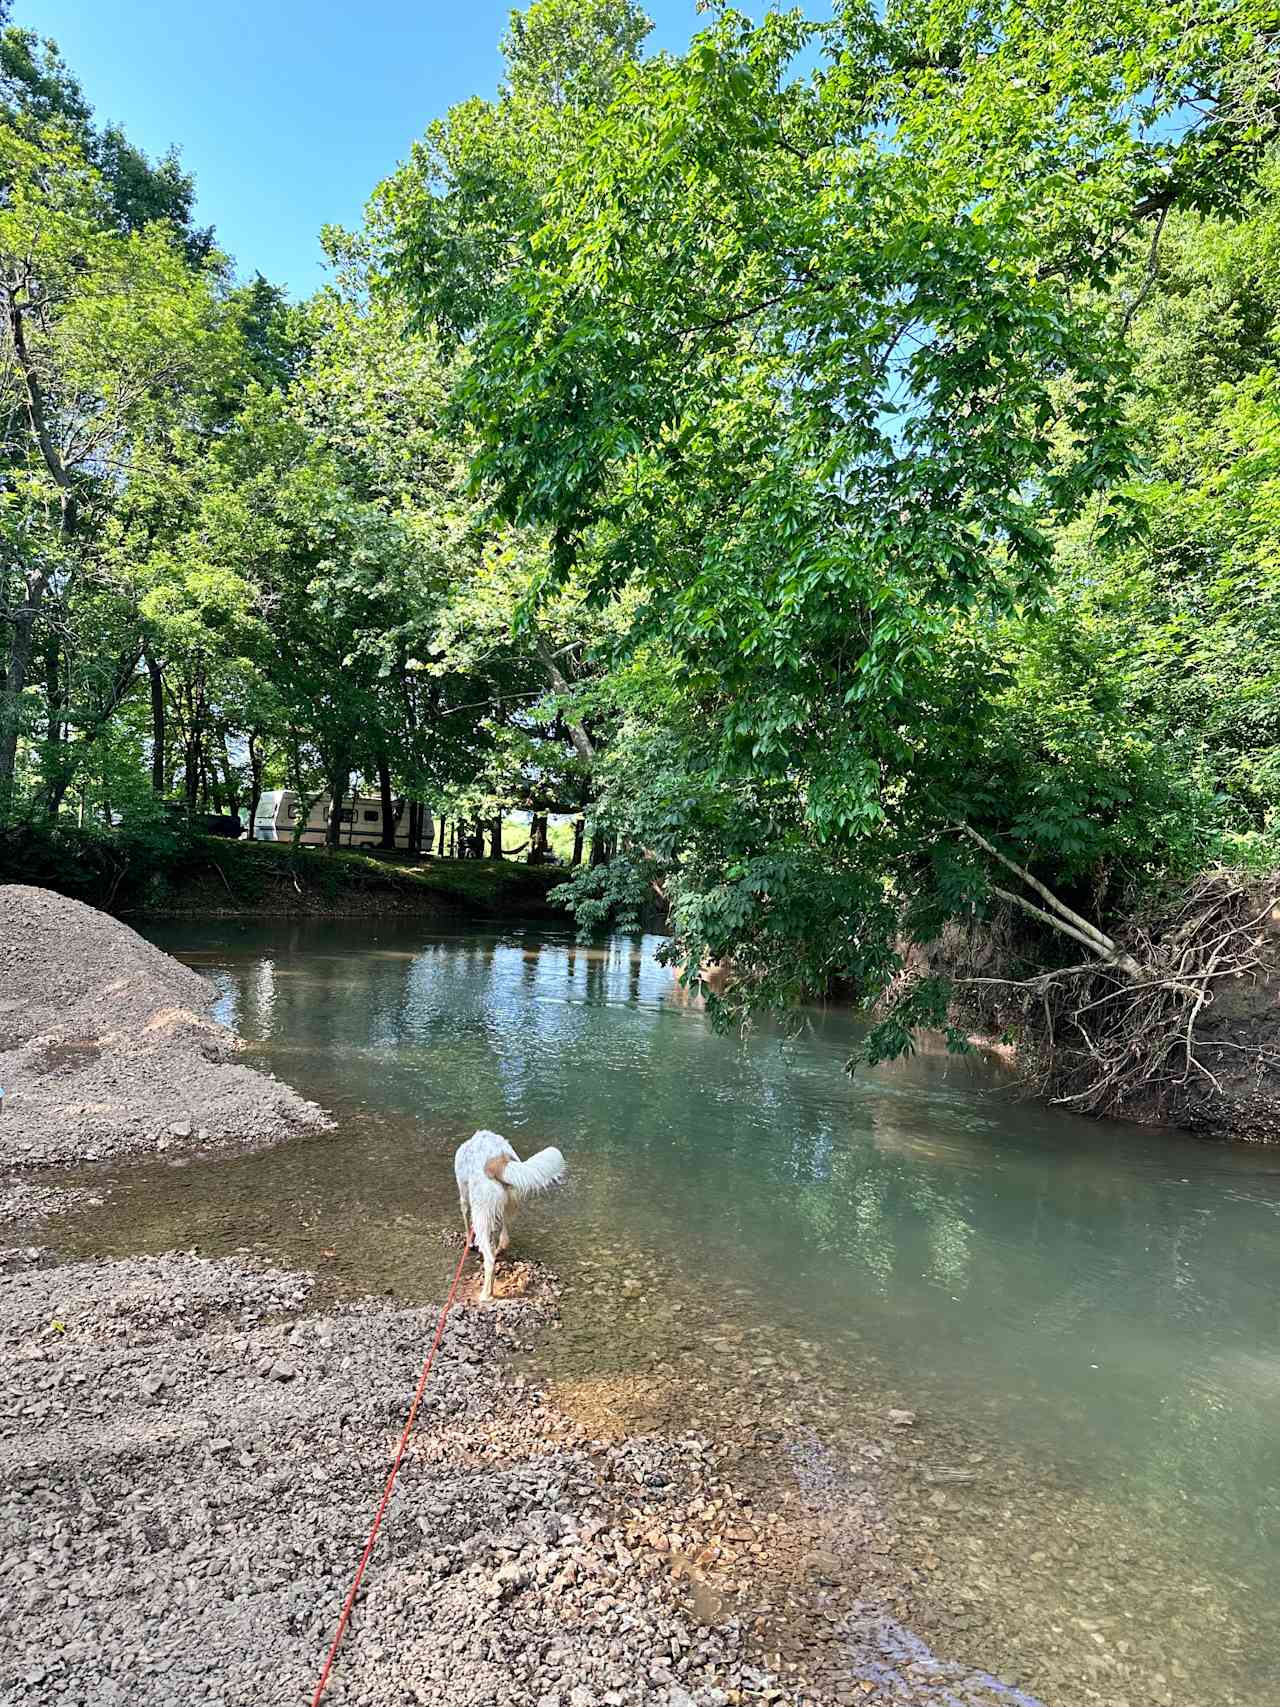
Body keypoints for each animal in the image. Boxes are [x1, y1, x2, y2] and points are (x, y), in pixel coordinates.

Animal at [457, 1126, 566, 1297]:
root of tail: (497, 1159)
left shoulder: (464, 1198)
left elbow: (467, 1224)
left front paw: (470, 1243)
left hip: (481, 1213)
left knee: (490, 1260)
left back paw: (485, 1295)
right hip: (507, 1205)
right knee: (504, 1239)